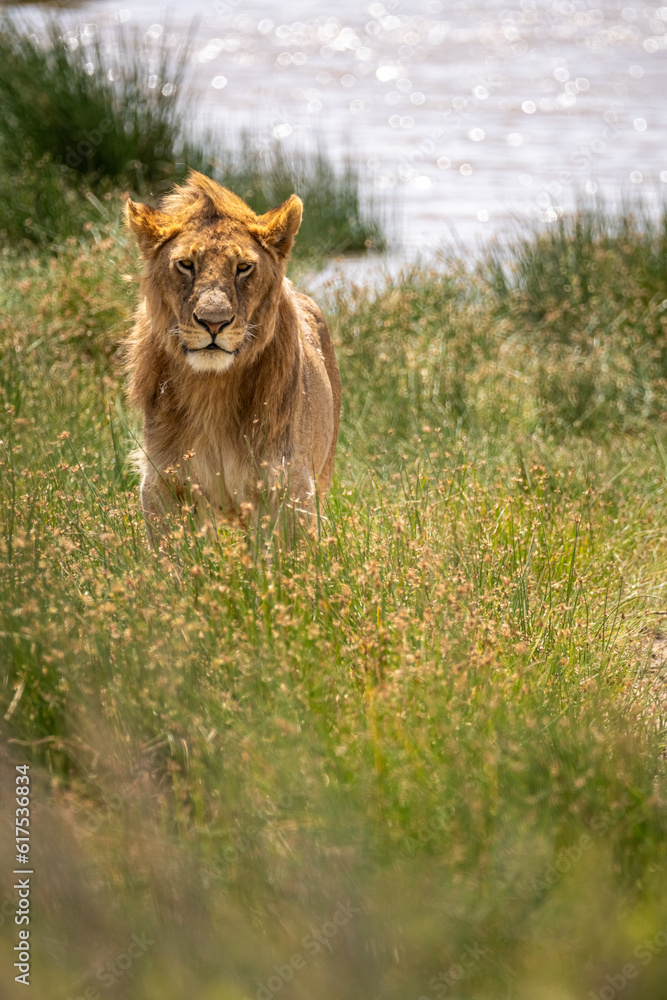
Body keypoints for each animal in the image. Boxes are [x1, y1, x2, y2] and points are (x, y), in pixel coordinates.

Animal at [124, 170, 341, 542]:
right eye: (186, 264)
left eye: (243, 267)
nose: (214, 322)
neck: (212, 389)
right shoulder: (163, 484)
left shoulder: (288, 486)